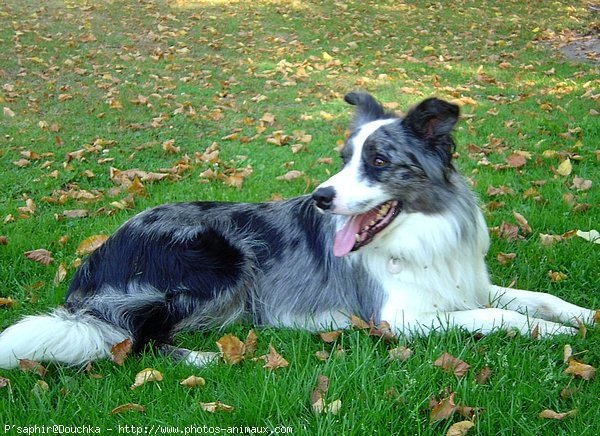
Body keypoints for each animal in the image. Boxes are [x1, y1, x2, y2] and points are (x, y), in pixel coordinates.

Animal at [0, 92, 596, 368]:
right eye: (344, 158)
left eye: (378, 161)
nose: (320, 198)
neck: (418, 234)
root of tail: (96, 258)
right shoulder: (398, 319)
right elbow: (498, 317)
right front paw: (555, 336)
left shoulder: (464, 283)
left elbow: (536, 298)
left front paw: (582, 316)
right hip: (217, 260)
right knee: (133, 338)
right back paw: (202, 358)